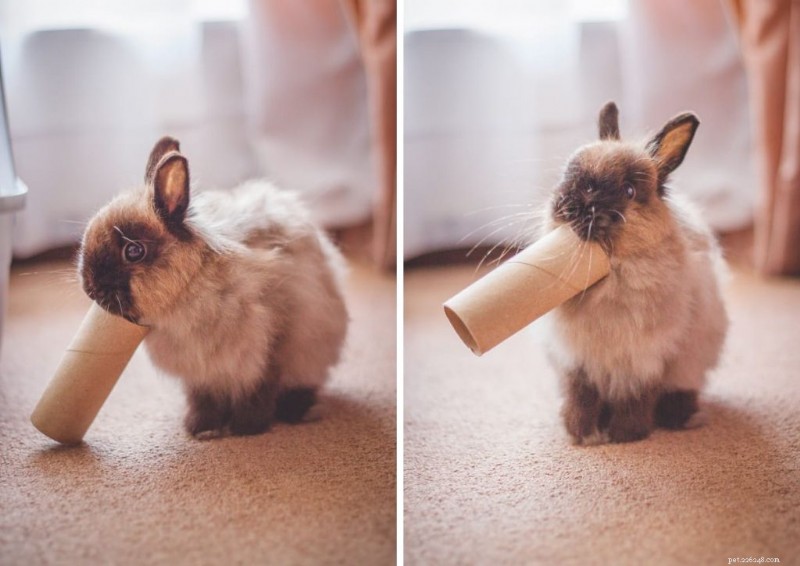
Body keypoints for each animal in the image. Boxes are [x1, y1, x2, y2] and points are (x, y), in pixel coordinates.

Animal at [78, 136, 348, 438]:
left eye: (134, 251)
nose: (91, 289)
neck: (187, 292)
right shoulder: (201, 375)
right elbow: (204, 400)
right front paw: (202, 429)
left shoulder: (269, 348)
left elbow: (259, 390)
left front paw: (247, 428)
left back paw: (297, 411)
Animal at [544, 102, 728, 445]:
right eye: (569, 174)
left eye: (629, 191)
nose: (572, 206)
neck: (611, 277)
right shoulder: (576, 360)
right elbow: (581, 396)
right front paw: (581, 434)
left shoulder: (647, 359)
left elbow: (637, 398)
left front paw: (624, 436)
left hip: (689, 365)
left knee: (681, 391)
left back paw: (681, 417)